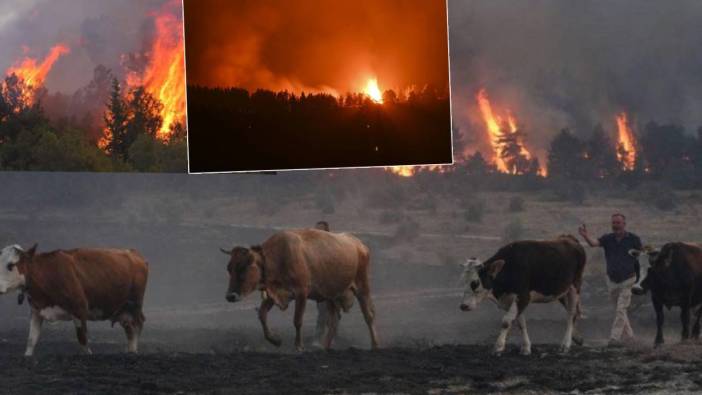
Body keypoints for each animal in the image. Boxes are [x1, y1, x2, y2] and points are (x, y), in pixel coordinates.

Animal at [0, 243, 150, 358]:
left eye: (11, 265)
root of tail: (134, 254)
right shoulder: (36, 311)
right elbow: (31, 340)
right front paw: (27, 357)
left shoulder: (80, 309)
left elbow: (82, 339)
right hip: (123, 310)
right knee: (129, 328)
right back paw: (129, 351)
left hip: (135, 304)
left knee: (138, 324)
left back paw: (134, 352)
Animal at [224, 230, 380, 352]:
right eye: (229, 268)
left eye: (243, 267)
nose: (230, 296)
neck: (278, 258)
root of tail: (360, 245)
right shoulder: (273, 295)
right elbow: (262, 315)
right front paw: (275, 340)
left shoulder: (301, 293)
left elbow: (297, 320)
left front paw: (298, 346)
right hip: (331, 296)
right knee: (334, 321)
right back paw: (326, 347)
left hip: (362, 286)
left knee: (369, 315)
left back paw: (375, 345)